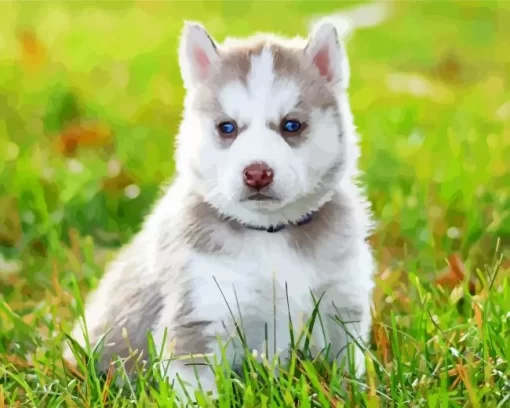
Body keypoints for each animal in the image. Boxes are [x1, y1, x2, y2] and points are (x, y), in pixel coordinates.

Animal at [62, 19, 374, 402]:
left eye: (291, 125)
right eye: (227, 128)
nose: (257, 172)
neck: (270, 235)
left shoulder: (340, 305)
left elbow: (347, 373)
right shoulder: (200, 316)